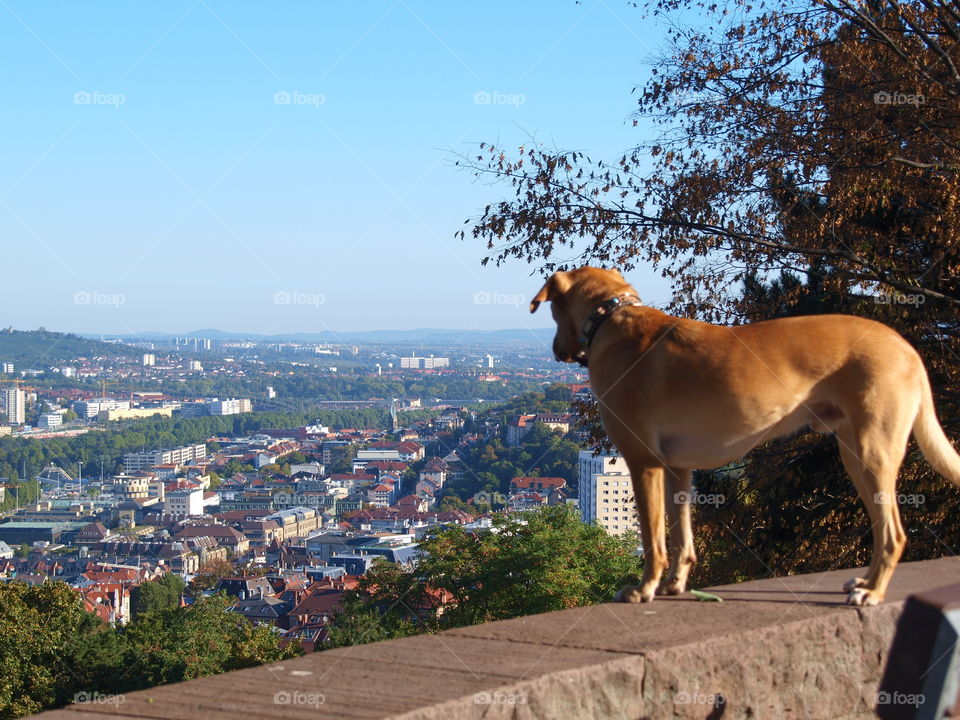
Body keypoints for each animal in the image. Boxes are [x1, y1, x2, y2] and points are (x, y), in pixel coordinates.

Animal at [528, 268, 960, 604]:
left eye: (551, 310)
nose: (553, 348)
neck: (611, 317)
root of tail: (905, 347)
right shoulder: (678, 469)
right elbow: (682, 537)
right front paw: (674, 586)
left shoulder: (643, 462)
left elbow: (654, 540)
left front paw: (645, 588)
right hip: (854, 453)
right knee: (882, 527)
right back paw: (866, 583)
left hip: (872, 453)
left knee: (894, 535)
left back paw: (873, 592)